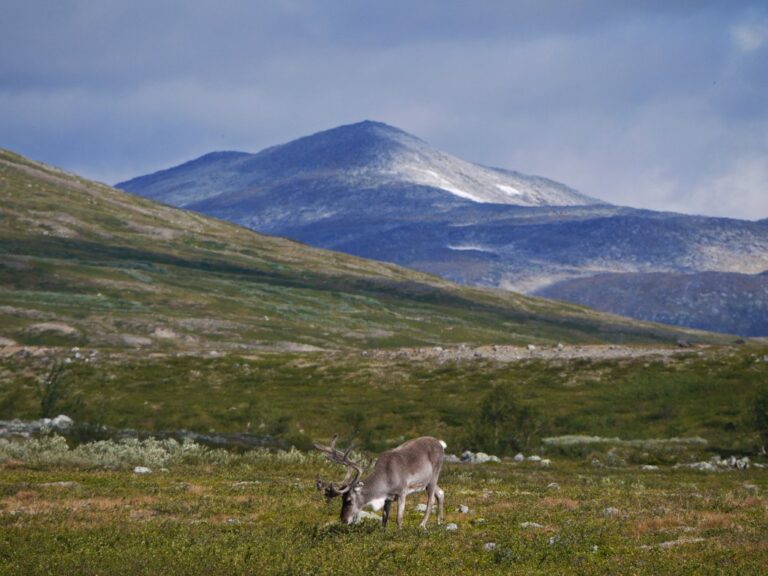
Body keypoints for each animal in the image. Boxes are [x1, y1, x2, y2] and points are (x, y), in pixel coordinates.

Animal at [314, 435, 446, 529]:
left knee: (431, 500)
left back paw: (422, 525)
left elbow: (399, 517)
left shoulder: (402, 492)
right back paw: (439, 522)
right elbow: (384, 518)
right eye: (342, 499)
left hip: (434, 476)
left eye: (349, 500)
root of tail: (440, 443)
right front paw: (383, 532)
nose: (343, 520)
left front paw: (399, 532)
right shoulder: (388, 498)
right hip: (427, 482)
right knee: (440, 493)